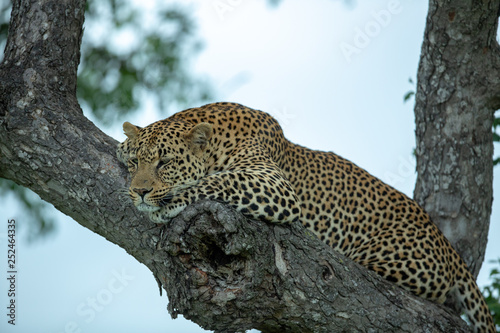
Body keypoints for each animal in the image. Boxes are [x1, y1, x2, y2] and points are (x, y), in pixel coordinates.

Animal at [118, 102, 496, 332]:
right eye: (136, 162)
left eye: (165, 162)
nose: (139, 191)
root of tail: (449, 247)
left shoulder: (274, 185)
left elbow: (218, 181)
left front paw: (170, 200)